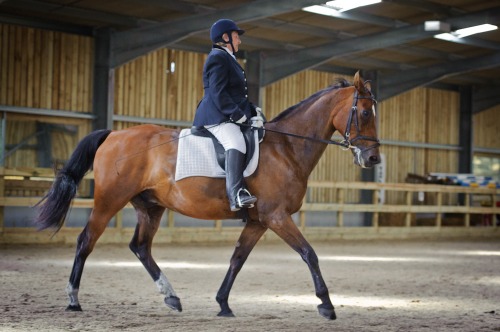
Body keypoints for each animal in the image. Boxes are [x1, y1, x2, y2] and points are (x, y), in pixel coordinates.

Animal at [34, 71, 378, 320]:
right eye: (363, 113)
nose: (372, 159)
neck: (287, 148)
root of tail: (114, 133)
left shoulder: (259, 220)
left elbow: (237, 258)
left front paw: (223, 303)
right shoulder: (276, 216)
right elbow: (309, 253)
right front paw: (326, 304)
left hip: (150, 206)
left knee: (140, 247)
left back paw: (171, 296)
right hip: (109, 201)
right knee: (86, 240)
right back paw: (73, 299)